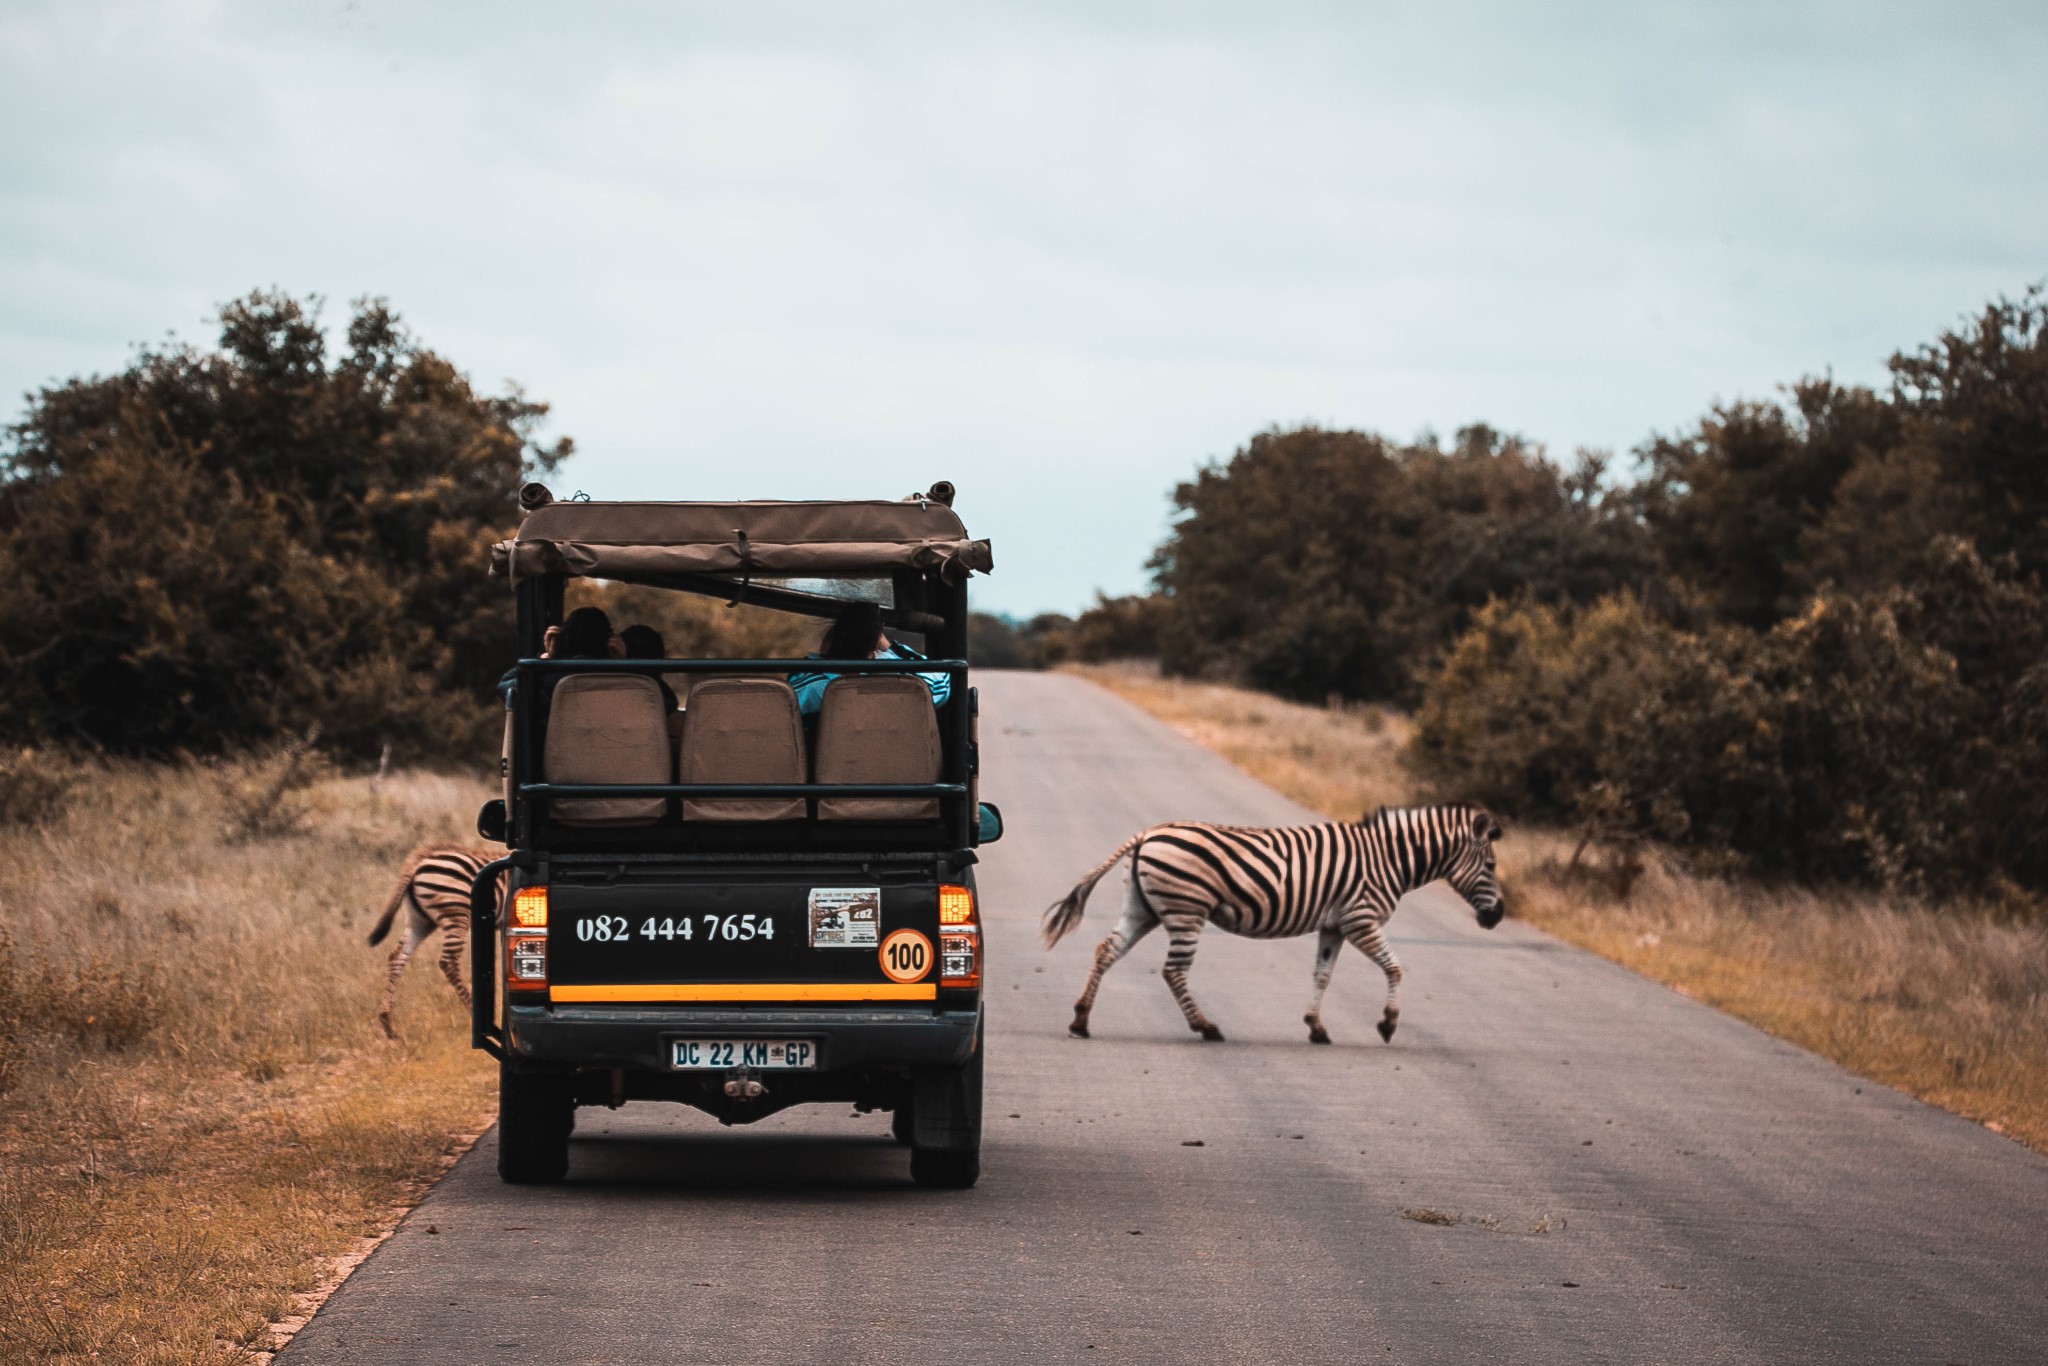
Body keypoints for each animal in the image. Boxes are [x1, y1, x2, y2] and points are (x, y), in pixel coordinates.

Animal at [1040, 802, 1507, 1048]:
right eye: (1490, 866)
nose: (1498, 916)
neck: (1389, 859)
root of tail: (1146, 834)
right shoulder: (1361, 919)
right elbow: (1395, 968)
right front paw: (1388, 1024)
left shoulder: (1334, 927)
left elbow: (1322, 976)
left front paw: (1316, 1027)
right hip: (1187, 911)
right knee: (1174, 971)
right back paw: (1207, 1027)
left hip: (1144, 910)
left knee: (1106, 951)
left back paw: (1081, 1021)